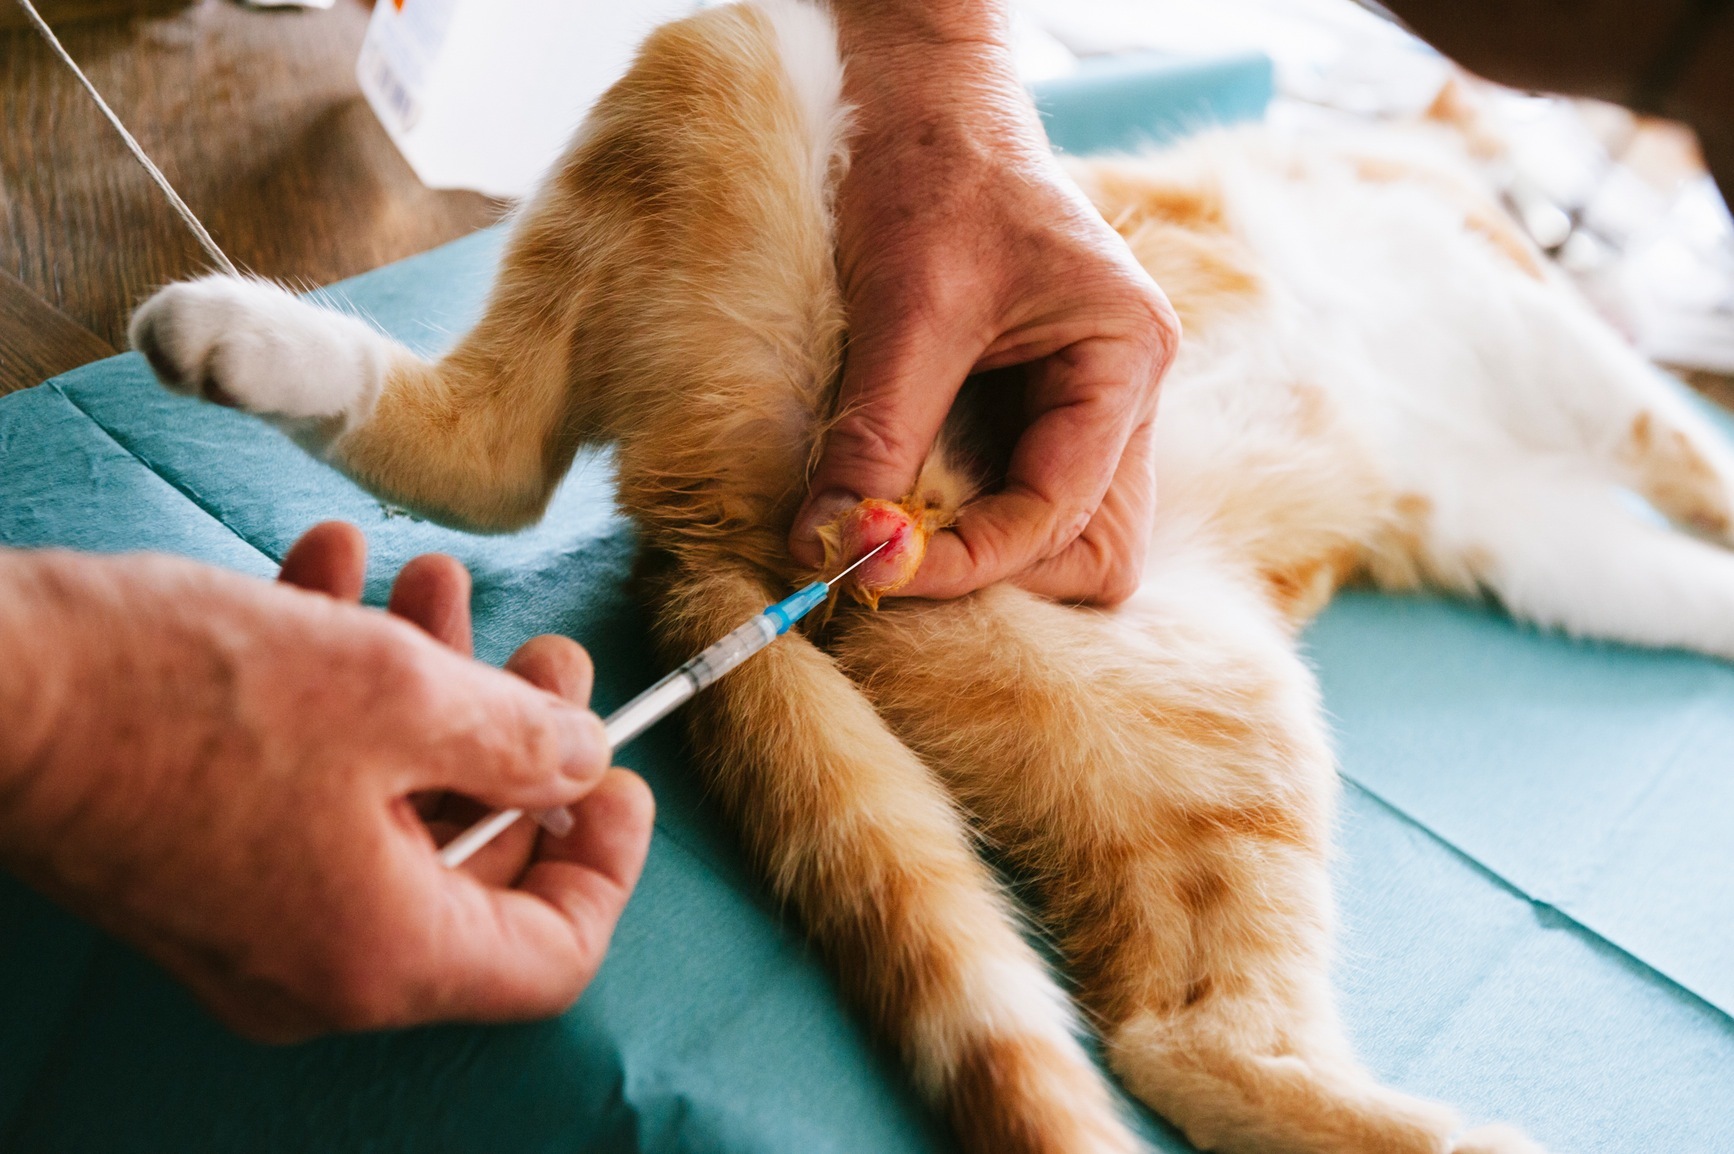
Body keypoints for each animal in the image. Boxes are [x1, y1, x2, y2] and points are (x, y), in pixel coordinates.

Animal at [125, 2, 1734, 1150]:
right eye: (1550, 187)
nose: (1568, 228)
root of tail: (722, 546)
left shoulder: (1524, 520)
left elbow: (1654, 560)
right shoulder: (1544, 341)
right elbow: (1691, 452)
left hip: (1196, 721)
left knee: (1174, 1028)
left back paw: (244, 348)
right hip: (739, 56)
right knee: (496, 450)